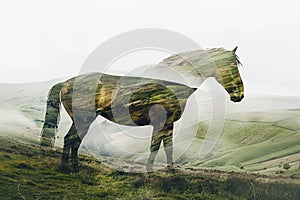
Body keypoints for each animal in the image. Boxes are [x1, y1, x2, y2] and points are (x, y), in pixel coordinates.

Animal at [39, 46, 245, 172]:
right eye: (232, 66)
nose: (239, 95)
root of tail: (66, 82)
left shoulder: (167, 123)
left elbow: (166, 146)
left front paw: (168, 169)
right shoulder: (161, 122)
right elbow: (155, 146)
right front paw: (152, 170)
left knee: (74, 141)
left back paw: (73, 167)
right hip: (84, 119)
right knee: (70, 139)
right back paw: (67, 168)